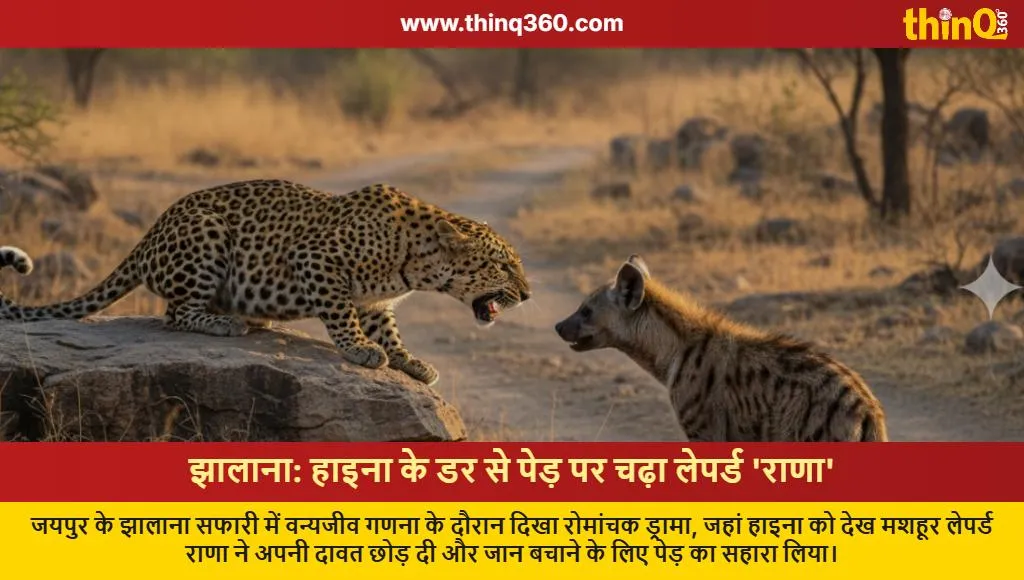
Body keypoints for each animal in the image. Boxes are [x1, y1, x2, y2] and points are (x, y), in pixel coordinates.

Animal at [0, 180, 532, 386]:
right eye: (505, 266)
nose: (527, 294)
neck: (419, 262)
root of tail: (150, 231)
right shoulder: (316, 259)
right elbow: (341, 314)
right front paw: (361, 351)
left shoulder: (378, 301)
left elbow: (389, 330)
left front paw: (411, 362)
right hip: (207, 234)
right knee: (175, 313)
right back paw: (227, 323)